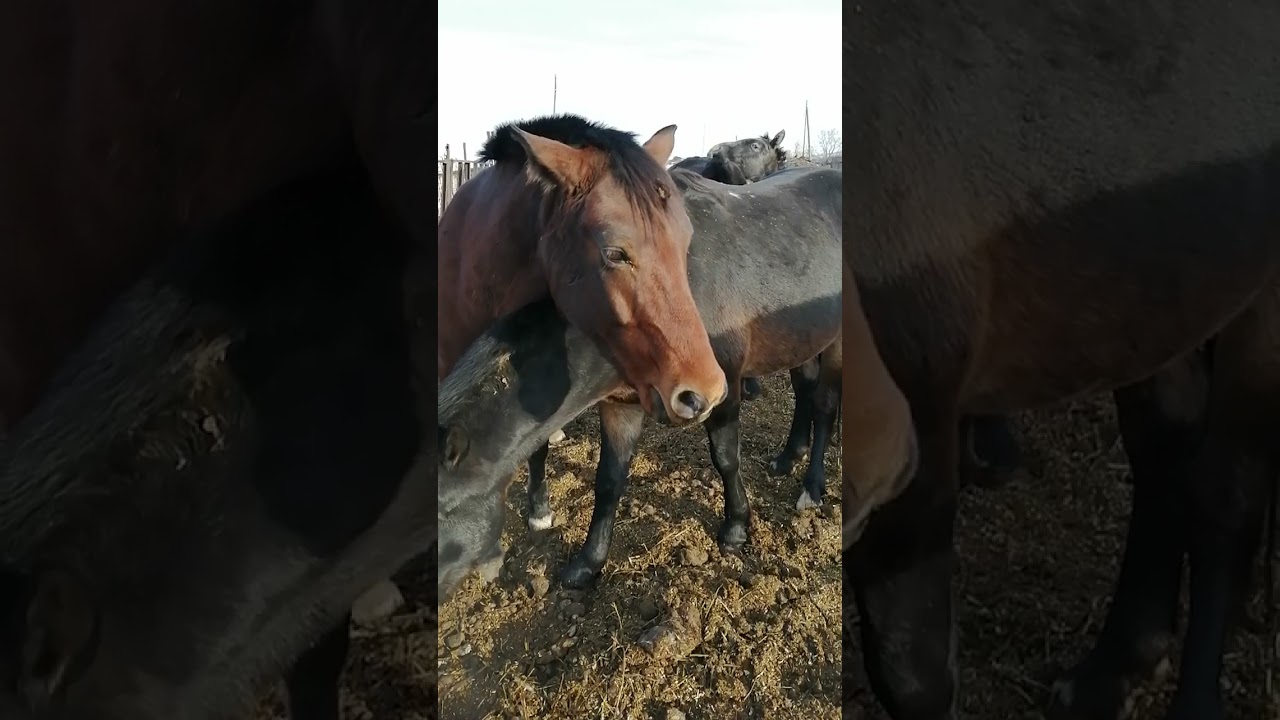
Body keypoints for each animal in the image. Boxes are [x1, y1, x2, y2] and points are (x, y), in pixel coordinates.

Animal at [521, 165, 843, 587]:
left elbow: (726, 458)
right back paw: (789, 456)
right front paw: (588, 561)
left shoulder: (725, 386)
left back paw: (813, 486)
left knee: (825, 403)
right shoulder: (619, 404)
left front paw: (735, 528)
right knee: (805, 391)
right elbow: (608, 479)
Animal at [845, 2, 1280, 719]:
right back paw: (1116, 664)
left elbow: (912, 673)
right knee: (1165, 448)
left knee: (1226, 493)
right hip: (1147, 292)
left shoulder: (918, 451)